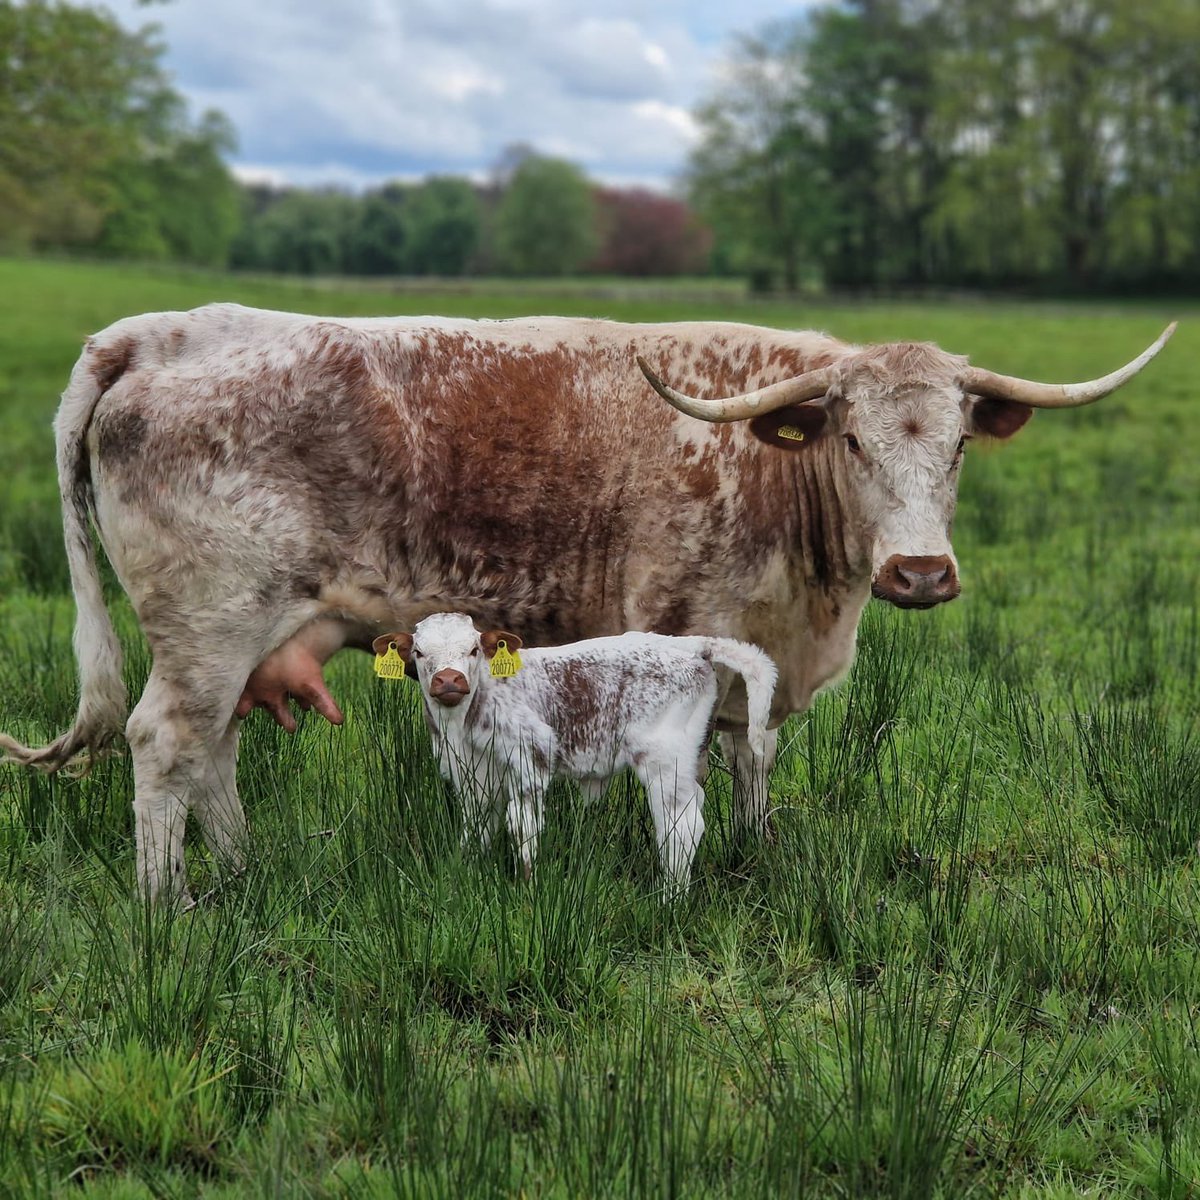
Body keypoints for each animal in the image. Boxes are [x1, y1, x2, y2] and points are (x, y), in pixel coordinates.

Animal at [379, 612, 777, 896]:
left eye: (473, 650)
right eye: (419, 652)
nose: (449, 680)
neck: (462, 724)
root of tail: (695, 644)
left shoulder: (530, 756)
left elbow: (522, 826)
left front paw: (527, 890)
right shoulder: (471, 773)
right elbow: (477, 827)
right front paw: (463, 873)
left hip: (665, 759)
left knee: (680, 825)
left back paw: (669, 899)